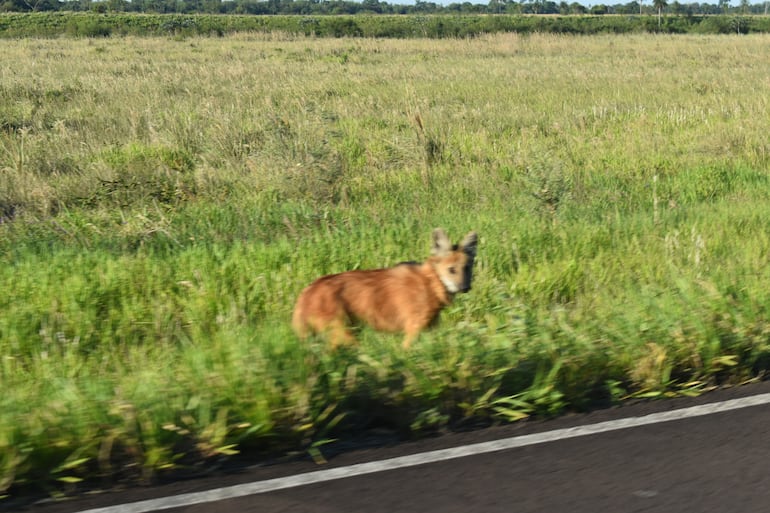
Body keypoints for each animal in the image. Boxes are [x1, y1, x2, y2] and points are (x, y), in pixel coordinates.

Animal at [292, 228, 476, 348]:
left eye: (466, 268)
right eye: (452, 270)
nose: (465, 287)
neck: (431, 282)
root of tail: (307, 291)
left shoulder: (428, 329)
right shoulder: (413, 328)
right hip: (344, 334)